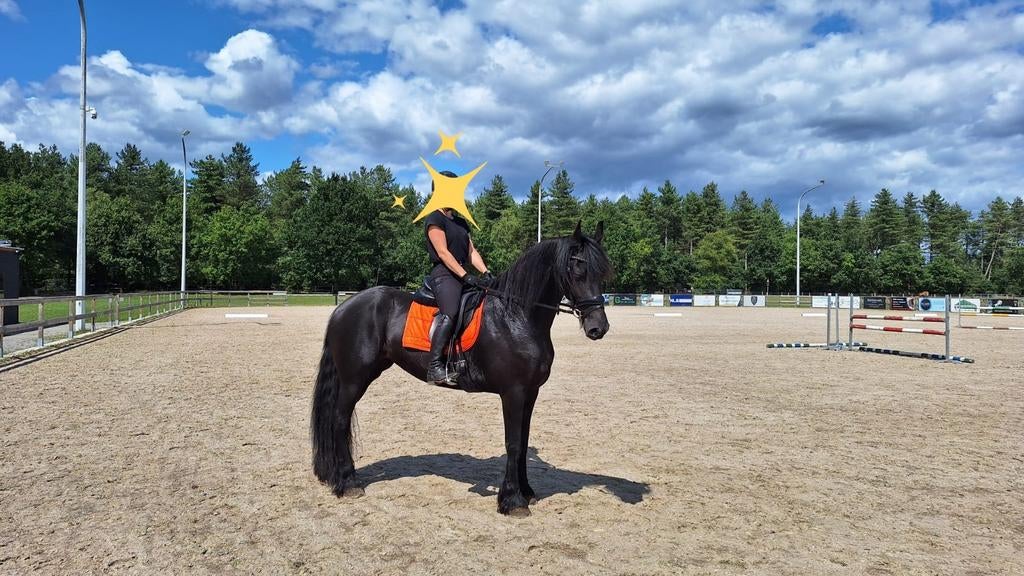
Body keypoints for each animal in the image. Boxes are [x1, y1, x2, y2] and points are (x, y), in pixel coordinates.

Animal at [311, 222, 611, 516]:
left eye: (601, 272)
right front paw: (512, 501)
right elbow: (513, 442)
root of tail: (344, 307)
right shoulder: (513, 392)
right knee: (339, 420)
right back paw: (348, 482)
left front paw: (526, 491)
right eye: (577, 270)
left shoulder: (530, 393)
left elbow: (524, 441)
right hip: (355, 378)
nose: (599, 327)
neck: (516, 317)